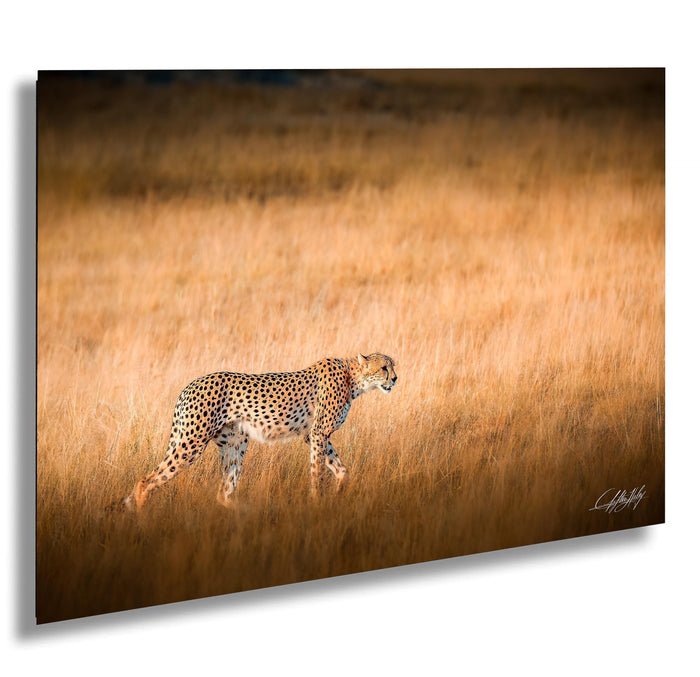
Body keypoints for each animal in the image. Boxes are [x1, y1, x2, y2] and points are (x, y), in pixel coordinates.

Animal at [120, 353, 397, 511]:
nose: (395, 379)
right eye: (384, 368)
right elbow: (317, 471)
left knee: (224, 492)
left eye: (393, 366)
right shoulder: (318, 432)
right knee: (145, 482)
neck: (353, 378)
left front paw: (338, 496)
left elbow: (341, 470)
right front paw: (317, 502)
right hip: (191, 442)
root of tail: (190, 384)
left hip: (235, 444)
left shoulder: (313, 435)